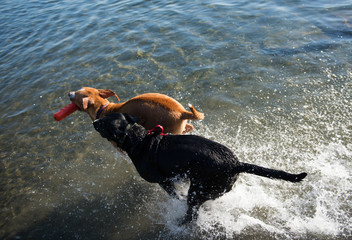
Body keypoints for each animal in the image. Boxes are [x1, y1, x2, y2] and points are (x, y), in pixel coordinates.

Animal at [69, 87, 204, 134]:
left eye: (75, 95)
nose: (69, 93)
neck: (104, 108)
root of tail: (182, 112)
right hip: (181, 126)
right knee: (189, 127)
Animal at [92, 112, 306, 223]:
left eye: (102, 124)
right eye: (104, 117)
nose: (94, 121)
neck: (140, 139)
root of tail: (236, 164)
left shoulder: (164, 181)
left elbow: (175, 195)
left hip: (198, 192)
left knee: (191, 214)